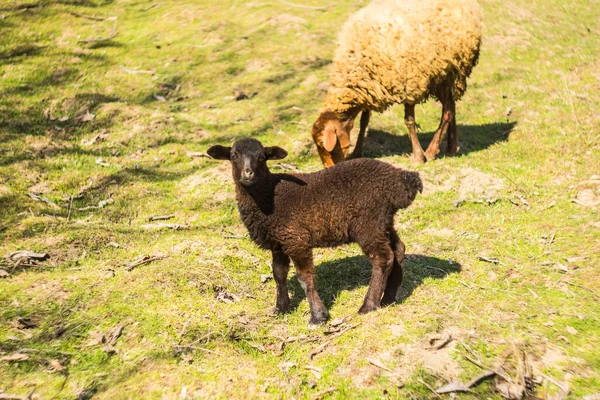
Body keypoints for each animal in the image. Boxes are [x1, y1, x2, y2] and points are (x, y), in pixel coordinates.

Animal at [207, 138, 422, 324]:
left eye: (262, 157)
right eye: (233, 155)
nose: (248, 174)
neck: (269, 195)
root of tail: (400, 180)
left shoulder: (296, 239)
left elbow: (304, 277)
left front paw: (318, 316)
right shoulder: (279, 242)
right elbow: (279, 274)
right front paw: (281, 308)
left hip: (368, 222)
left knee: (382, 257)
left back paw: (368, 306)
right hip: (384, 221)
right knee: (398, 250)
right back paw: (388, 299)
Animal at [312, 0, 486, 166]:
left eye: (323, 144)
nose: (328, 169)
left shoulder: (410, 83)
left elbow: (409, 122)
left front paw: (418, 157)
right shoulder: (369, 88)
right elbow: (364, 122)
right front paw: (357, 152)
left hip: (454, 71)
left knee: (448, 111)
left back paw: (431, 151)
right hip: (441, 75)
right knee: (451, 108)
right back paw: (451, 148)